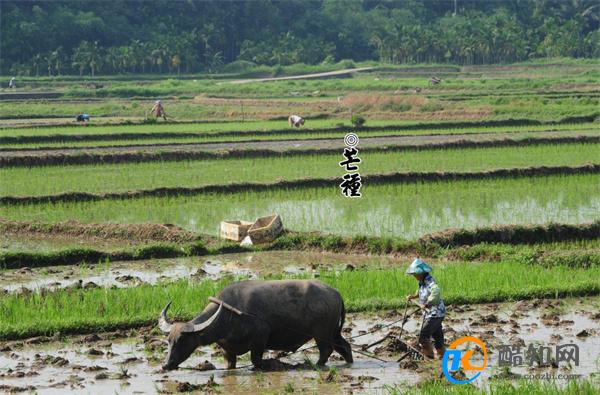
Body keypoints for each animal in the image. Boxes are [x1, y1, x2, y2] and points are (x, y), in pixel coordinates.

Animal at [157, 280, 354, 370]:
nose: (166, 365)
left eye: (182, 340)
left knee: (326, 350)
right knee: (344, 346)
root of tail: (336, 293)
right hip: (333, 332)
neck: (227, 315)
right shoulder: (228, 351)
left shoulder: (260, 338)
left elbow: (255, 361)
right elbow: (230, 364)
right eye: (168, 341)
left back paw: (315, 365)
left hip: (322, 334)